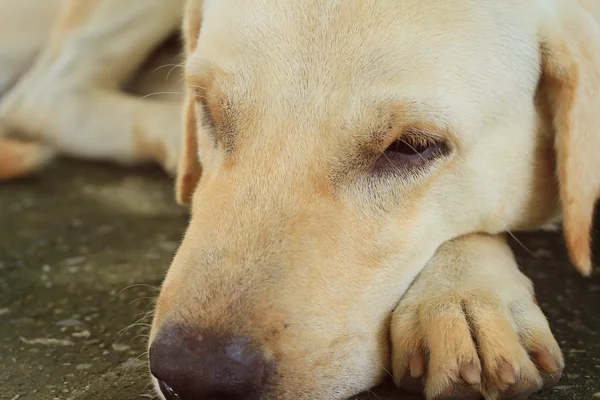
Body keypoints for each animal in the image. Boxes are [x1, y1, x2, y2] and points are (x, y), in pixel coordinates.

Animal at [2, 0, 596, 400]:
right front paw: (464, 295)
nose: (196, 376)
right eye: (208, 109)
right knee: (42, 96)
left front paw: (463, 297)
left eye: (412, 146)